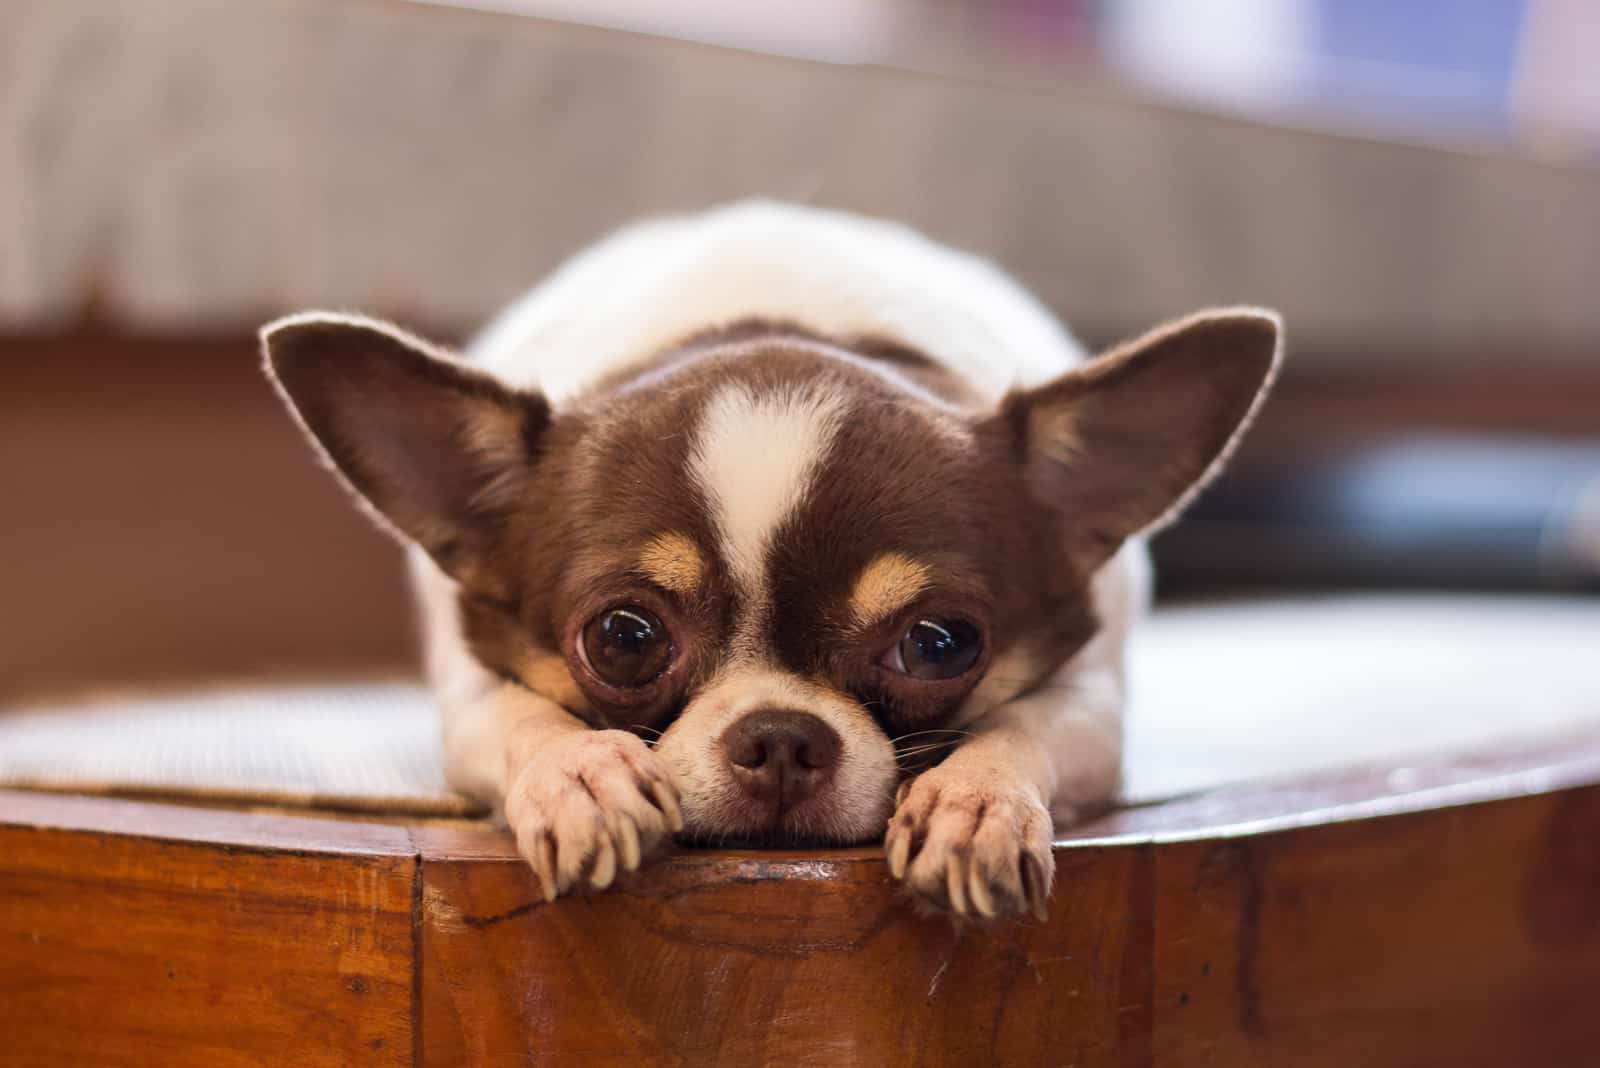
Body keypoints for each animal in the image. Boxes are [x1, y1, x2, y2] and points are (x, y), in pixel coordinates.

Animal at [268, 199, 1280, 920]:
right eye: (623, 639)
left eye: (940, 645)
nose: (783, 737)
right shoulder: (470, 687)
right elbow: (523, 717)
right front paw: (583, 774)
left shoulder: (1093, 701)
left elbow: (1019, 727)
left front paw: (974, 801)